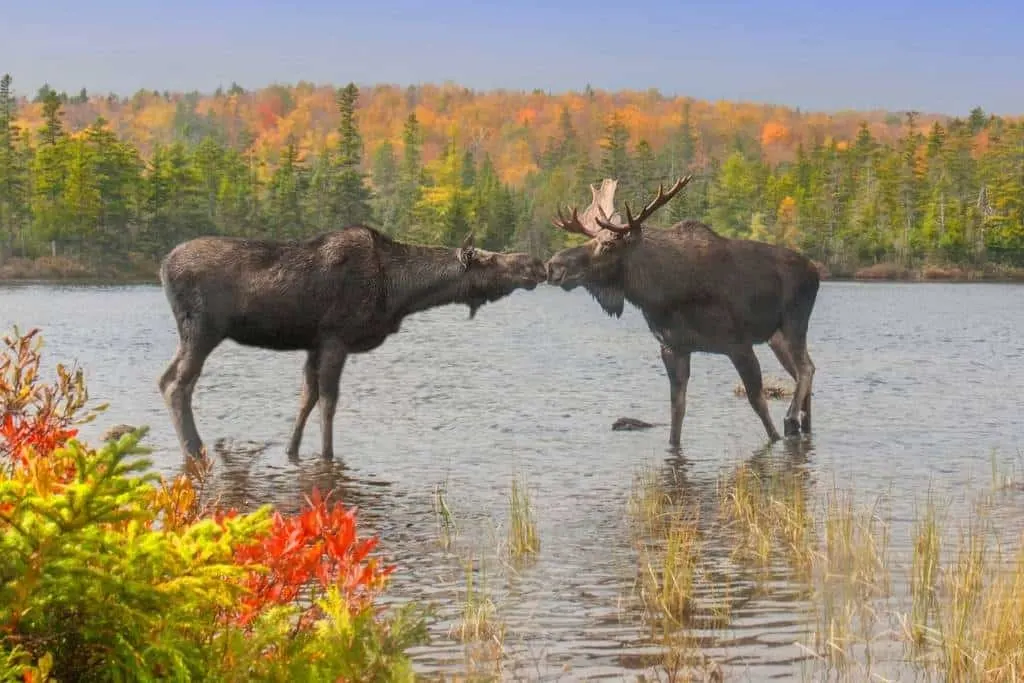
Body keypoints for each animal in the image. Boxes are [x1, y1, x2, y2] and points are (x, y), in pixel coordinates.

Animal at [156, 227, 548, 462]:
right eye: (489, 258)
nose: (536, 264)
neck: (400, 291)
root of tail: (161, 267)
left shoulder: (313, 344)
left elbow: (306, 398)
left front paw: (292, 450)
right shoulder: (336, 338)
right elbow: (329, 402)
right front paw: (328, 455)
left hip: (191, 335)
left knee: (164, 379)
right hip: (203, 330)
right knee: (178, 385)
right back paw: (194, 448)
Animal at [548, 175, 819, 444]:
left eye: (606, 246)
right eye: (590, 240)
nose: (553, 266)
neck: (660, 294)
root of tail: (815, 271)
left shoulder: (738, 344)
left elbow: (759, 404)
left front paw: (776, 434)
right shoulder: (673, 348)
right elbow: (677, 410)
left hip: (794, 322)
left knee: (806, 369)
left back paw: (791, 418)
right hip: (775, 338)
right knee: (803, 370)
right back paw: (804, 424)